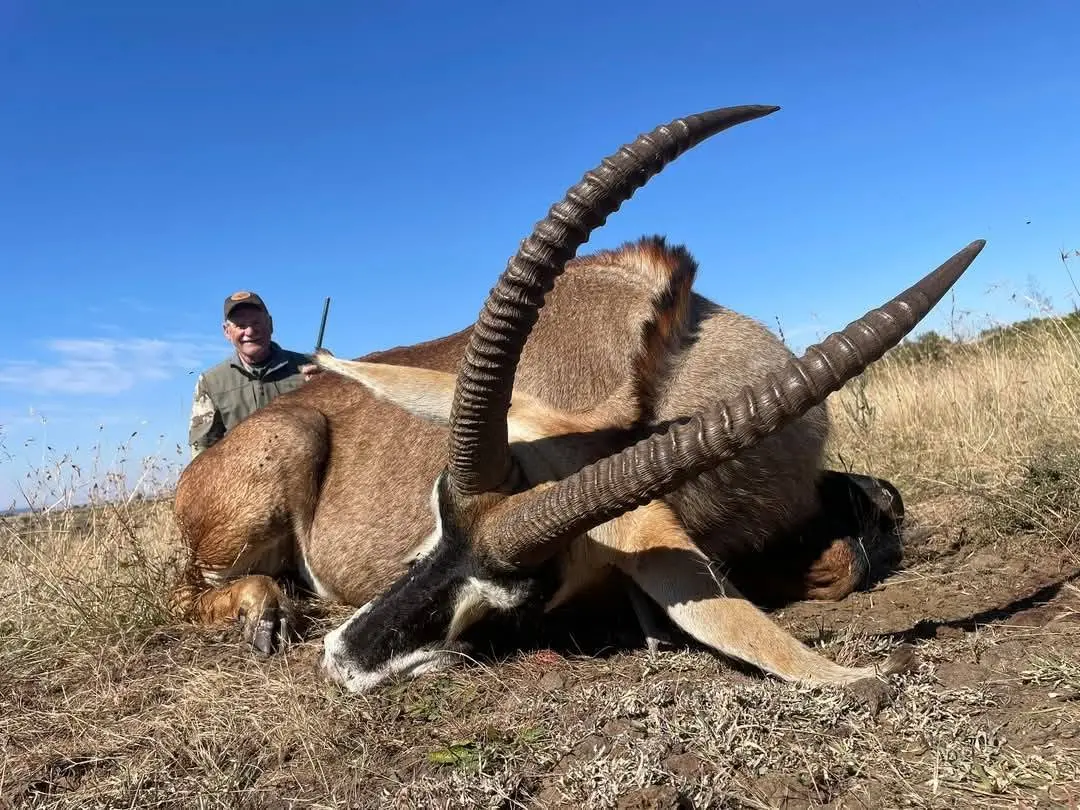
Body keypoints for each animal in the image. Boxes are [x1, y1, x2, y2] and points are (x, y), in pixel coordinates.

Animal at [171, 104, 985, 694]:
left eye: (528, 596)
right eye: (433, 516)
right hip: (288, 449)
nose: (342, 660)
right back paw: (268, 611)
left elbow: (869, 520)